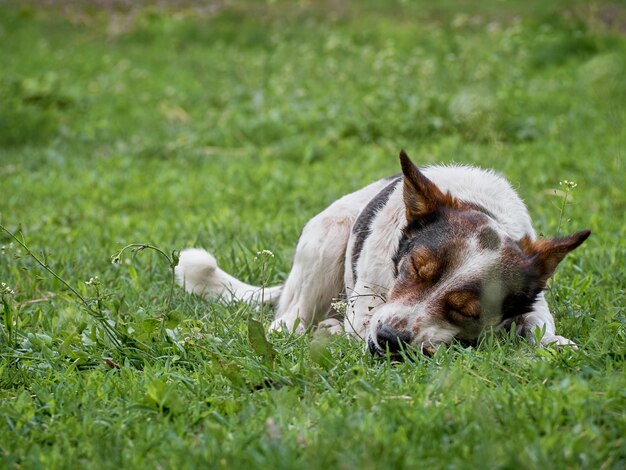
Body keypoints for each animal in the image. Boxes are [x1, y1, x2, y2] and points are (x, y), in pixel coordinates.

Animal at [173, 152, 588, 354]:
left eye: (466, 310)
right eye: (413, 269)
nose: (388, 338)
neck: (480, 205)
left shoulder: (534, 296)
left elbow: (539, 323)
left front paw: (551, 343)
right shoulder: (367, 307)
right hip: (327, 238)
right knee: (288, 322)